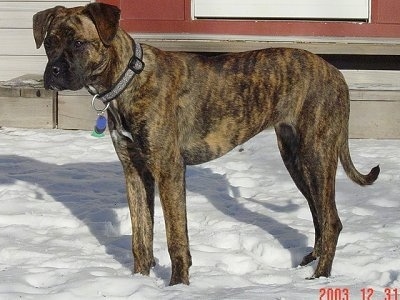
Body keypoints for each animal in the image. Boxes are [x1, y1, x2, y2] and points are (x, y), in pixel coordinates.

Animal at [32, 2, 380, 284]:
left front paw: (178, 285)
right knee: (319, 214)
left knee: (332, 220)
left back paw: (320, 277)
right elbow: (140, 237)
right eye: (49, 43)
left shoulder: (169, 170)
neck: (128, 80)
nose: (53, 72)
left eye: (79, 43)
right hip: (295, 158)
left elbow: (175, 237)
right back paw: (310, 263)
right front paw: (140, 282)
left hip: (317, 154)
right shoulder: (134, 172)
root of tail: (336, 73)